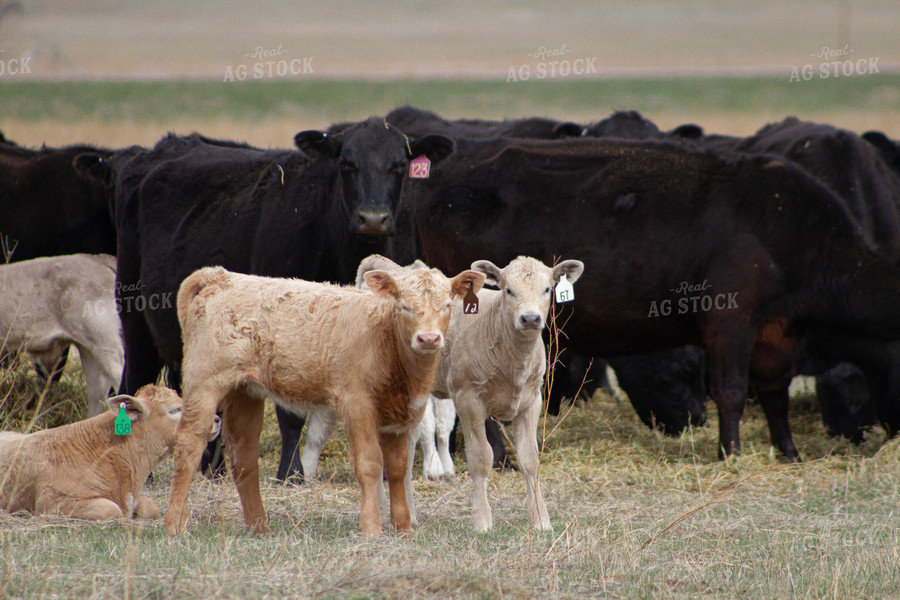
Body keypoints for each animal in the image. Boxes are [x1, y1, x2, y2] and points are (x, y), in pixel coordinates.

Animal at [115, 122, 454, 482]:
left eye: (400, 166)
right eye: (346, 164)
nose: (374, 218)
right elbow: (291, 414)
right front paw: (291, 473)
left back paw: (213, 468)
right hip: (135, 321)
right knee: (134, 384)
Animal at [164, 262, 482, 536]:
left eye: (447, 305)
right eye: (404, 306)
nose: (428, 338)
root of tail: (222, 276)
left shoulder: (400, 415)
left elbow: (396, 469)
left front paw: (403, 528)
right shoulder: (357, 404)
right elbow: (370, 463)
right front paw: (371, 527)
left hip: (245, 391)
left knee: (243, 455)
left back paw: (260, 527)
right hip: (204, 382)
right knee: (189, 445)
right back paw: (174, 525)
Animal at [400, 136, 900, 460]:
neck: (786, 224)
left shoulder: (777, 332)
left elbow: (774, 394)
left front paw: (789, 451)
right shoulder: (730, 321)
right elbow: (731, 391)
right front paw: (731, 453)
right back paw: (498, 455)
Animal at [434, 255, 584, 532]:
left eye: (547, 289)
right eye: (508, 290)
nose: (530, 318)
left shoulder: (531, 401)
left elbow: (530, 459)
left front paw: (541, 518)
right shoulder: (467, 398)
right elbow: (481, 458)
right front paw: (482, 520)